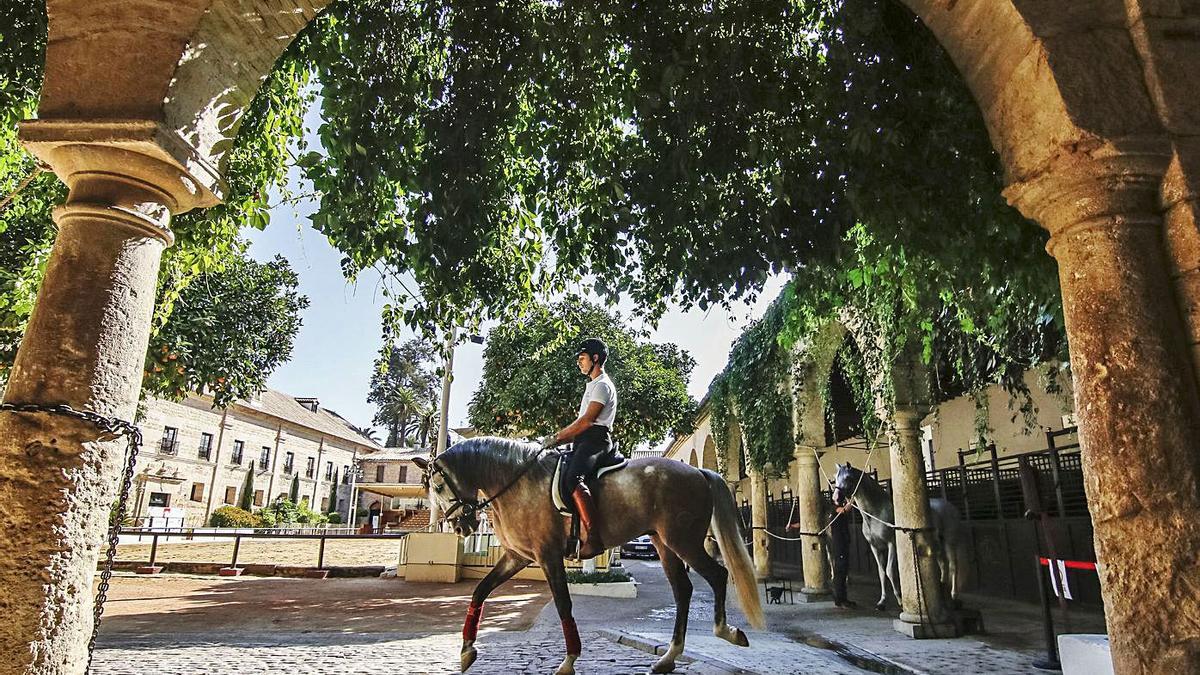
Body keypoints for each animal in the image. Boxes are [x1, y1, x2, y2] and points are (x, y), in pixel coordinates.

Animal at [830, 461, 960, 610]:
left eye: (848, 477)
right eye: (835, 478)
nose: (836, 498)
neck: (876, 514)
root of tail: (949, 506)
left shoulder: (892, 544)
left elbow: (889, 571)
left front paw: (900, 600)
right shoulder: (875, 547)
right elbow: (881, 572)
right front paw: (882, 601)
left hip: (950, 542)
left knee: (953, 565)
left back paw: (954, 596)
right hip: (937, 544)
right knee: (943, 564)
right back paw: (942, 589)